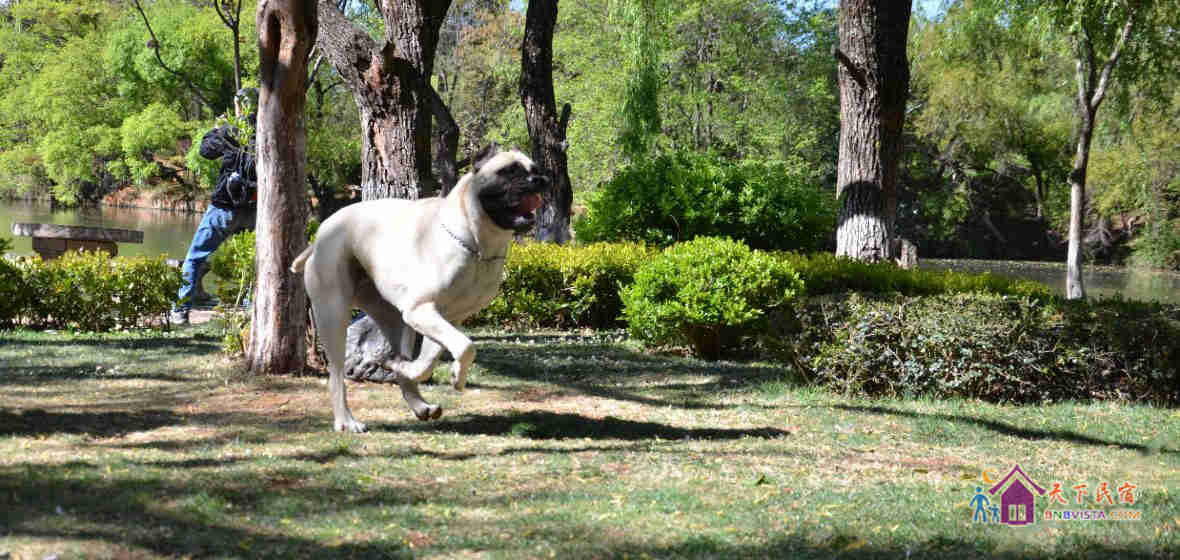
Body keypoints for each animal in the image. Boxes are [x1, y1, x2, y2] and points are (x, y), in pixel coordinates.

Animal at [291, 147, 549, 432]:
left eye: (535, 169)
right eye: (509, 171)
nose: (540, 180)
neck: (476, 246)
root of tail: (320, 235)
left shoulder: (444, 317)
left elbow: (430, 359)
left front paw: (419, 370)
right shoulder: (422, 310)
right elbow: (466, 346)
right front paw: (456, 375)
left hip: (394, 319)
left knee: (398, 354)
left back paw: (418, 402)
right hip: (334, 314)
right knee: (336, 375)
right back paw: (346, 421)